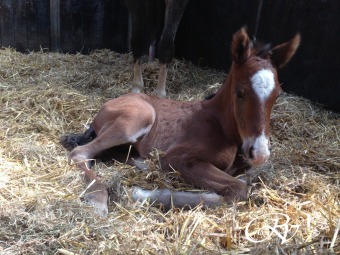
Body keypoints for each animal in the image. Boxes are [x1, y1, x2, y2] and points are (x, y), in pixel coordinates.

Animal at [63, 27, 300, 216]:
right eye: (240, 92)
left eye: (277, 94)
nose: (260, 153)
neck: (221, 126)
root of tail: (105, 106)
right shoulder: (179, 158)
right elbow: (237, 190)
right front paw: (141, 194)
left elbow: (244, 180)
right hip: (139, 118)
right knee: (80, 153)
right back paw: (98, 200)